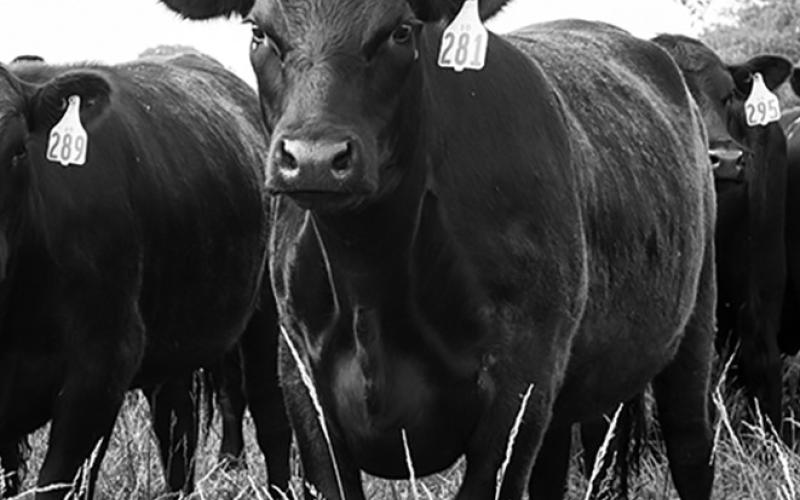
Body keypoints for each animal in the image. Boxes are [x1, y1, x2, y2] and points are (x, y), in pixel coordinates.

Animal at [0, 49, 290, 498]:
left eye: (16, 150)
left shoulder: (102, 368)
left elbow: (60, 481)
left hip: (266, 316)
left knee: (269, 413)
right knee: (178, 429)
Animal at [159, 2, 717, 499]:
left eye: (401, 30)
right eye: (259, 31)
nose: (314, 157)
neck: (373, 281)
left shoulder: (521, 386)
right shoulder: (302, 383)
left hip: (693, 329)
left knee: (692, 444)